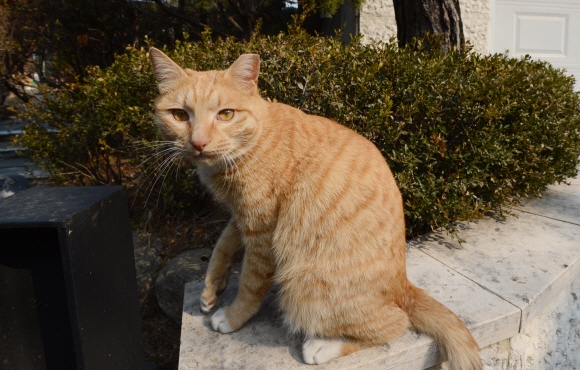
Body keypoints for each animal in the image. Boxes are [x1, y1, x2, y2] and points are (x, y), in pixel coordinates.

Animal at [150, 47, 480, 368]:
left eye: (226, 114)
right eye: (180, 115)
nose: (198, 143)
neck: (255, 139)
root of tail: (403, 284)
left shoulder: (261, 233)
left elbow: (250, 284)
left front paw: (232, 317)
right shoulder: (241, 215)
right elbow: (223, 244)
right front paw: (211, 288)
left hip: (303, 288)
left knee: (395, 324)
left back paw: (323, 347)